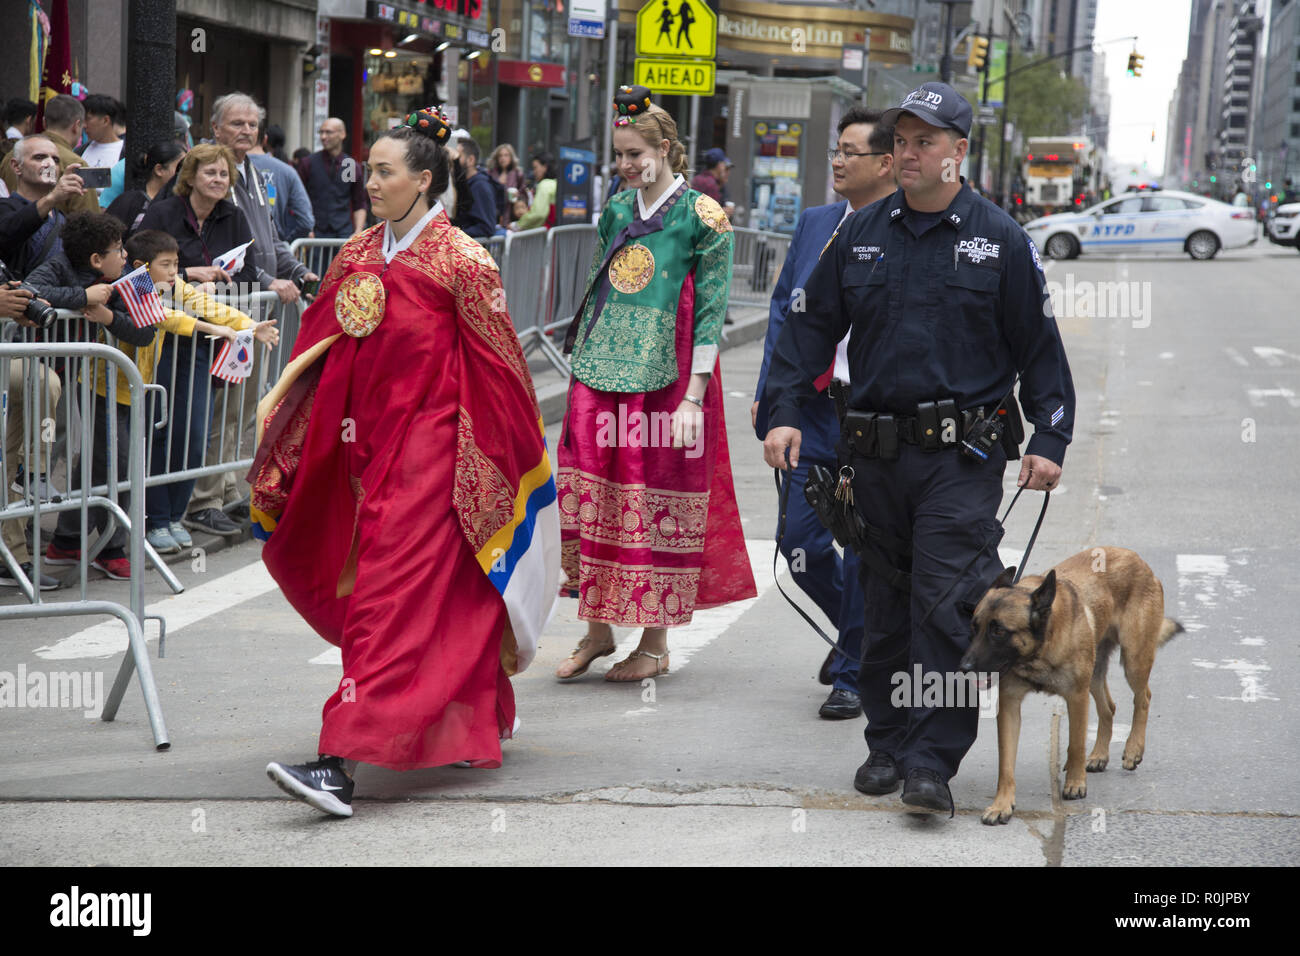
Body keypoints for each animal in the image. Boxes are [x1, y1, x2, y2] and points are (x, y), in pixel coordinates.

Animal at [961, 548, 1185, 827]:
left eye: (998, 631)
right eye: (975, 627)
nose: (964, 666)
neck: (1041, 648)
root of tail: (1137, 558)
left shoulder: (1076, 698)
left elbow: (1076, 743)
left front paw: (1075, 784)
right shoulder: (1010, 707)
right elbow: (1006, 763)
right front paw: (1002, 804)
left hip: (1133, 660)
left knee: (1143, 697)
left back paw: (1133, 749)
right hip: (1095, 673)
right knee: (1109, 708)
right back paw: (1099, 755)